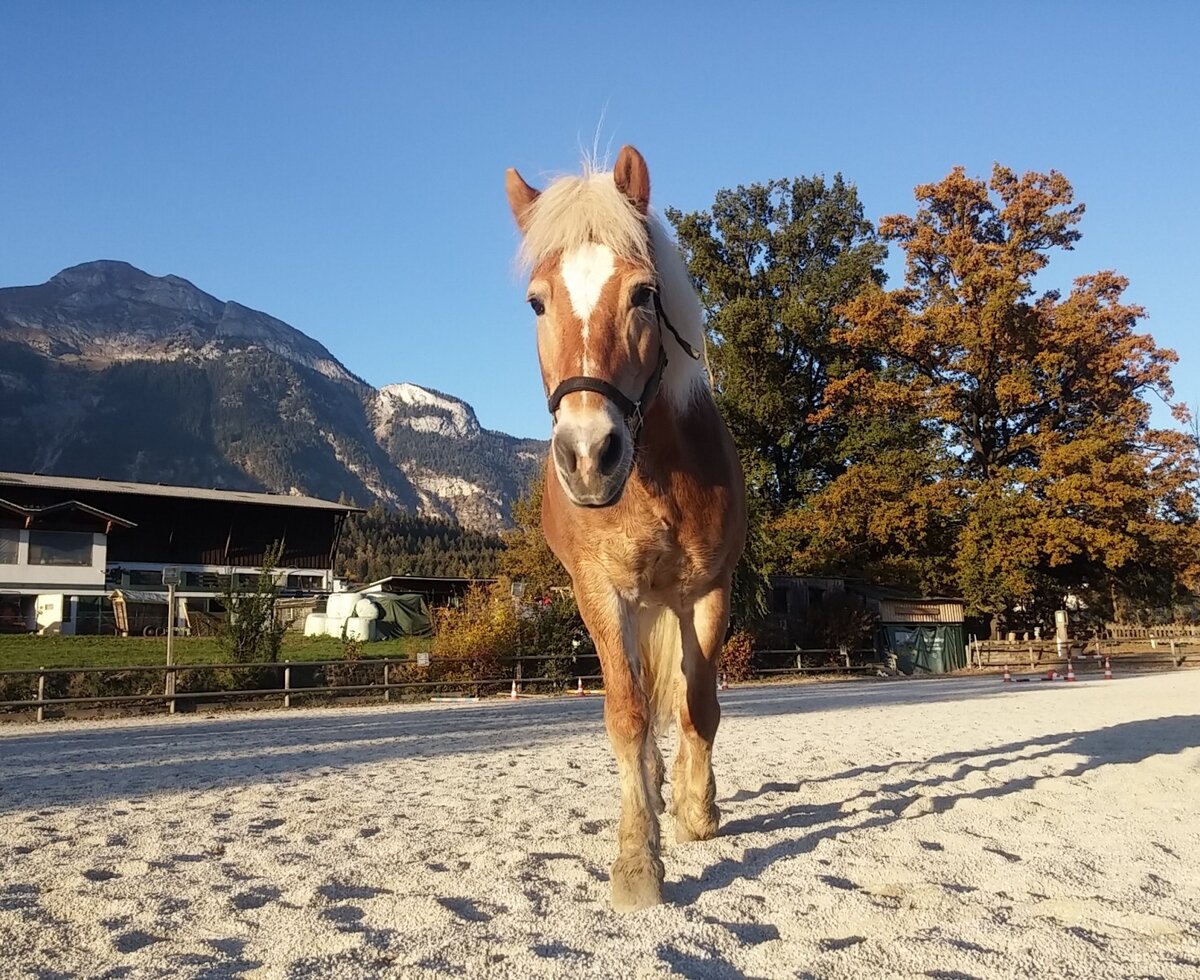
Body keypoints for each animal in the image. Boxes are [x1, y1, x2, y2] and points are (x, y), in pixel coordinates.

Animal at [504, 145, 747, 911]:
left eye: (643, 294)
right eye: (537, 302)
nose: (588, 457)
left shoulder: (708, 593)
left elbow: (699, 707)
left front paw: (698, 812)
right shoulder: (601, 595)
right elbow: (627, 716)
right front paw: (638, 860)